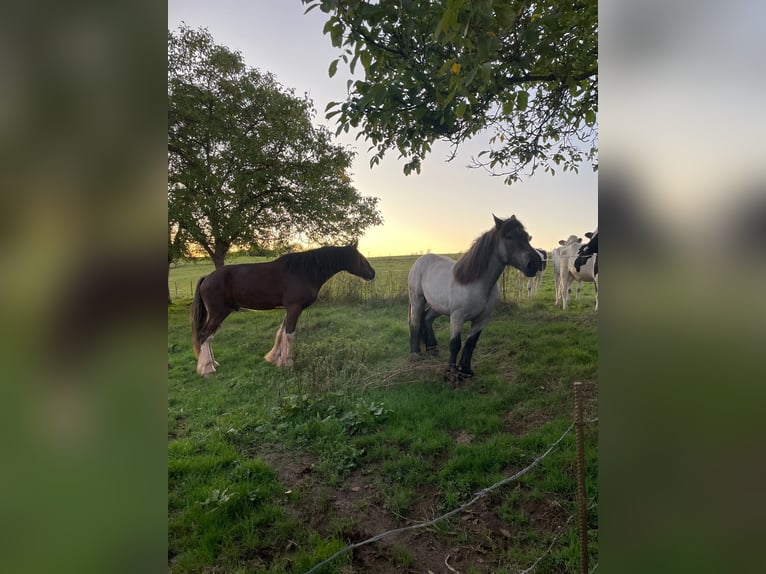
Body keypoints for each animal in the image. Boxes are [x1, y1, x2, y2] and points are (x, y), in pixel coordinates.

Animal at [189, 243, 376, 378]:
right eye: (360, 258)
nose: (372, 273)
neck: (304, 270)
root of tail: (207, 278)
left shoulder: (290, 309)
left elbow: (281, 332)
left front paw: (274, 358)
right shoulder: (294, 308)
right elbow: (289, 334)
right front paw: (287, 362)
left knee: (208, 337)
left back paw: (212, 363)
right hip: (218, 313)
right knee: (204, 336)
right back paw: (207, 369)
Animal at [408, 216, 544, 382]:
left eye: (527, 236)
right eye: (509, 237)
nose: (535, 263)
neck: (477, 283)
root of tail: (420, 260)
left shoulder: (482, 319)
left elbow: (470, 343)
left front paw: (466, 371)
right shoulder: (457, 317)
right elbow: (455, 344)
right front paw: (450, 373)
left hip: (437, 306)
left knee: (427, 318)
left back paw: (432, 349)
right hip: (417, 300)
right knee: (415, 322)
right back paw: (415, 354)